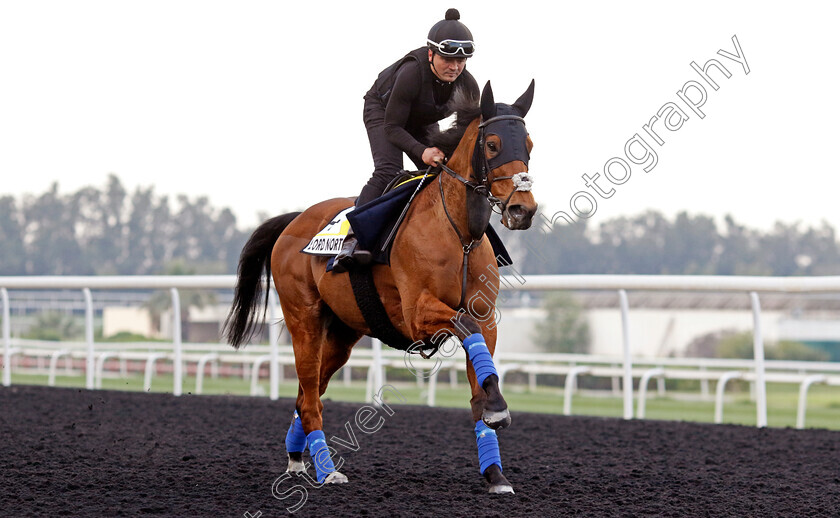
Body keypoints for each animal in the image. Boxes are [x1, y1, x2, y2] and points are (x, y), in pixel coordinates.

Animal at [223, 80, 540, 496]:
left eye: (530, 145)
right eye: (492, 144)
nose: (523, 209)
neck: (459, 234)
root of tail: (295, 220)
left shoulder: (486, 318)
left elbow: (477, 378)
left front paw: (495, 468)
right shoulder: (418, 314)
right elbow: (465, 329)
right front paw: (498, 409)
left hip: (341, 333)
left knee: (307, 394)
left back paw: (296, 457)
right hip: (304, 320)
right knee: (310, 400)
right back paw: (327, 471)